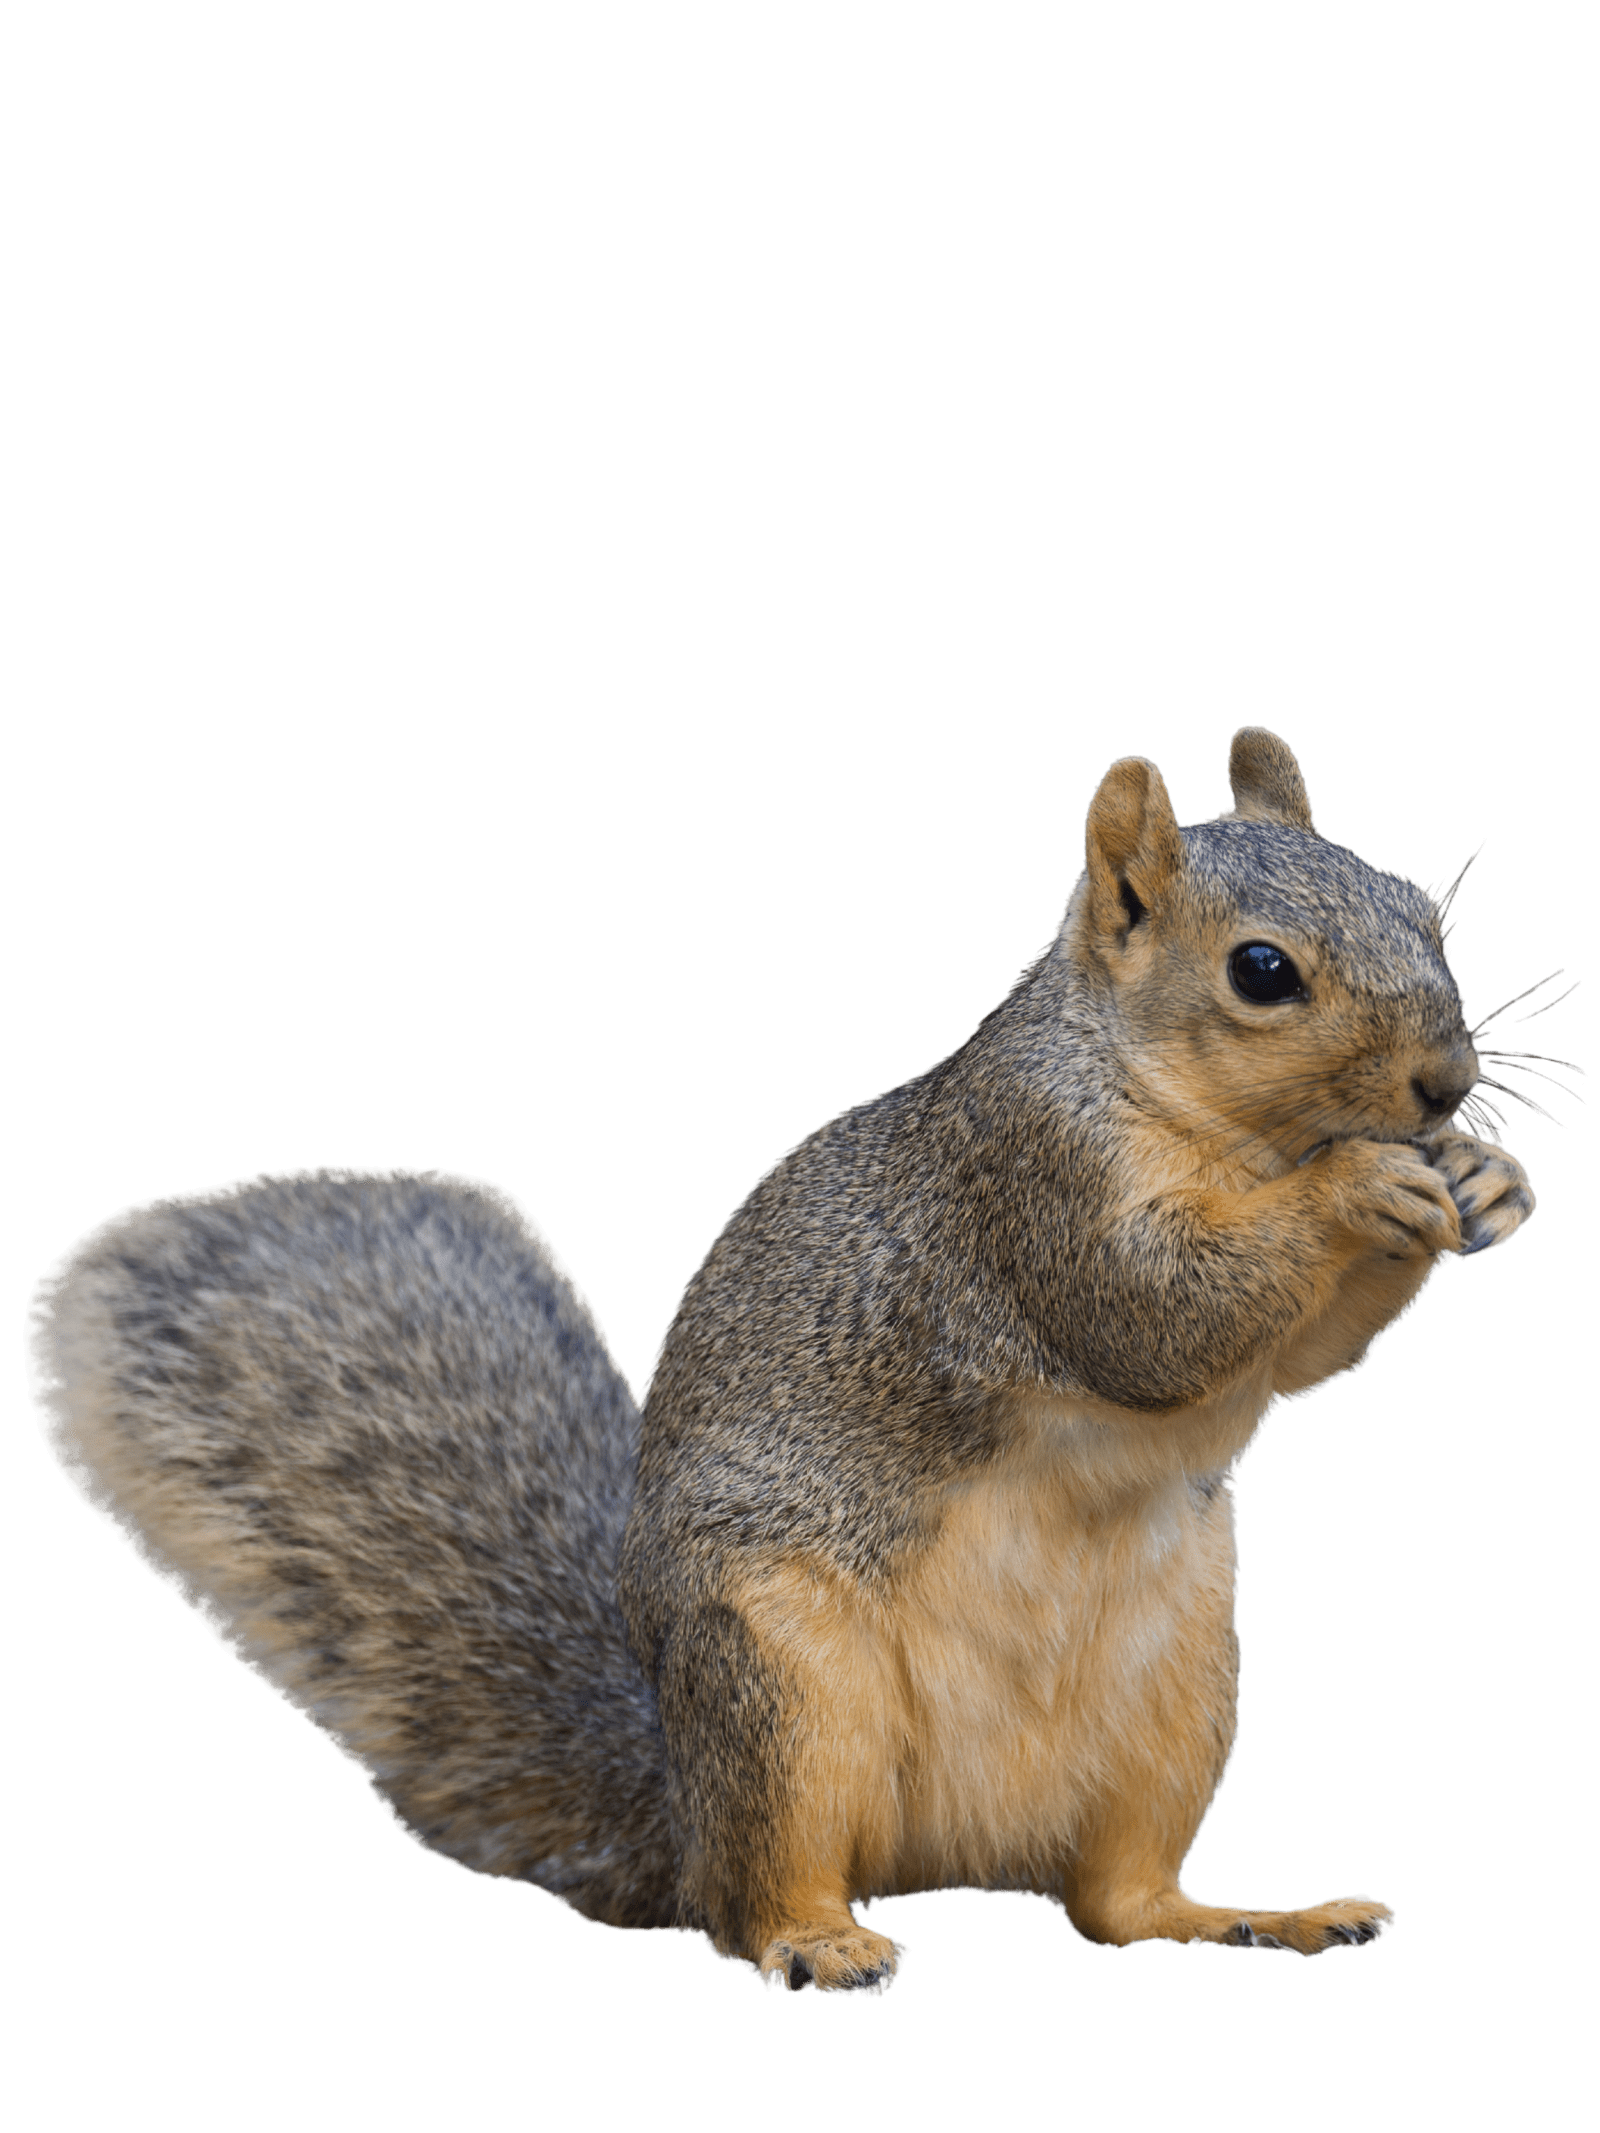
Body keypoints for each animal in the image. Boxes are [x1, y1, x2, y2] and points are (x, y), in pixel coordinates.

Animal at [27, 725, 1563, 1997]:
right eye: (1261, 972)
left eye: (1423, 908)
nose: (1445, 1084)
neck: (1202, 1117)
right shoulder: (1028, 1188)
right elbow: (1154, 1313)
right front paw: (1366, 1184)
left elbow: (1300, 1359)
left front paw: (1486, 1177)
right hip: (781, 1690)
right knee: (753, 1902)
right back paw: (821, 1941)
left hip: (1181, 1698)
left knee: (1120, 1904)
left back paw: (1252, 1918)